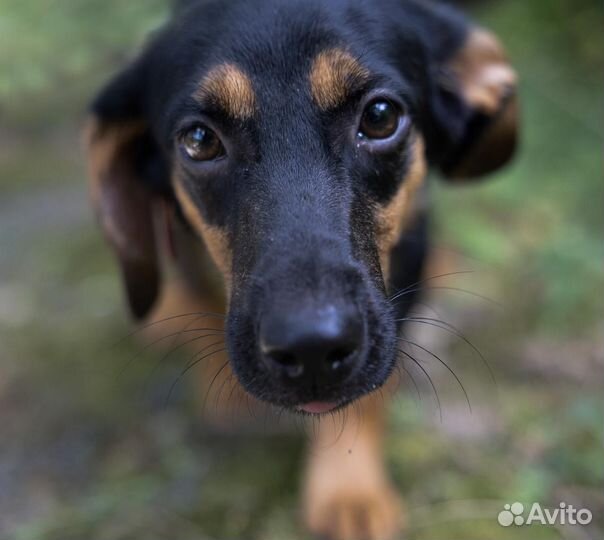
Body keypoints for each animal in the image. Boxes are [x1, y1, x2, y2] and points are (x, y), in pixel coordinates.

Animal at [86, 2, 520, 536]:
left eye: (380, 117)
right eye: (199, 139)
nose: (311, 349)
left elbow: (368, 396)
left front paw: (349, 490)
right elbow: (205, 294)